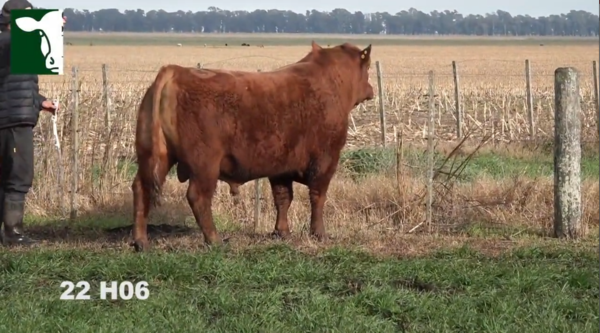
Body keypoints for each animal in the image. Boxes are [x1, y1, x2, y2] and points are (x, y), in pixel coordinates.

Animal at [132, 41, 376, 250]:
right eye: (367, 68)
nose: (371, 90)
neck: (330, 81)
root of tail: (175, 71)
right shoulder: (325, 161)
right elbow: (317, 197)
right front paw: (319, 233)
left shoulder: (281, 167)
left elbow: (283, 198)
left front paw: (281, 232)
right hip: (204, 165)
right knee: (198, 197)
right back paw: (214, 239)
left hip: (154, 157)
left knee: (141, 189)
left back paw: (141, 242)